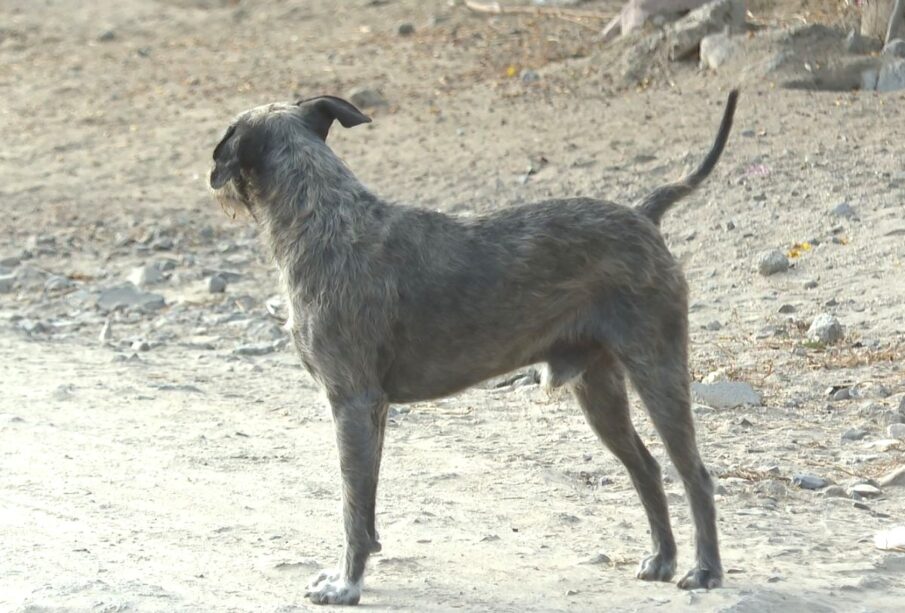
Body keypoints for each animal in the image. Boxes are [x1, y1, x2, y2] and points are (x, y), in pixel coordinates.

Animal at [214, 88, 740, 604]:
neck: (321, 214)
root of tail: (642, 215)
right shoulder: (371, 412)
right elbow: (366, 507)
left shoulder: (351, 403)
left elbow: (351, 507)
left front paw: (347, 583)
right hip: (600, 391)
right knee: (647, 468)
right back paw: (663, 559)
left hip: (657, 371)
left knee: (694, 475)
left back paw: (705, 570)